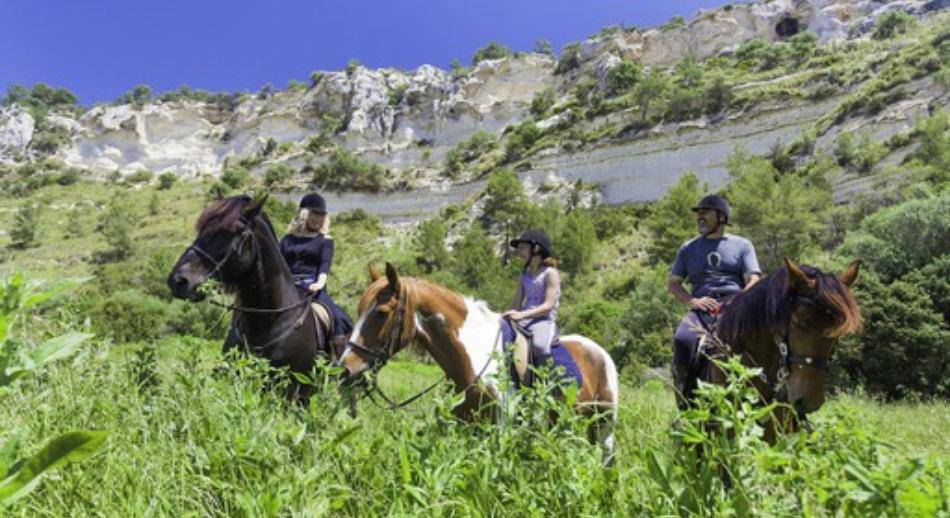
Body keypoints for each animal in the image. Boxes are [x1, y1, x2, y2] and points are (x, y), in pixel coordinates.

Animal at [338, 264, 620, 460]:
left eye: (381, 313)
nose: (345, 369)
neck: (475, 358)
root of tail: (599, 351)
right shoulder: (467, 429)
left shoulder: (500, 430)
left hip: (605, 422)